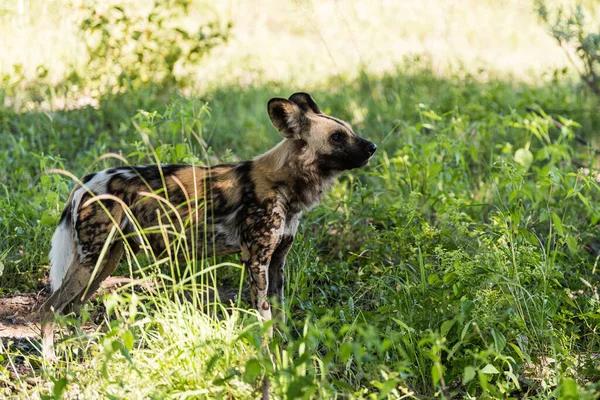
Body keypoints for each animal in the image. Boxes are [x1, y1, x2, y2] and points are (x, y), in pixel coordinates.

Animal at [41, 92, 376, 358]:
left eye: (349, 130)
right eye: (337, 137)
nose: (372, 146)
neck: (287, 186)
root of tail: (84, 182)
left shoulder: (277, 262)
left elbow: (279, 315)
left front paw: (287, 354)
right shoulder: (256, 262)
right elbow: (264, 320)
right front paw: (269, 359)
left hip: (104, 263)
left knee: (72, 309)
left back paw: (80, 352)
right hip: (91, 263)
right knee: (49, 309)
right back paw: (51, 365)